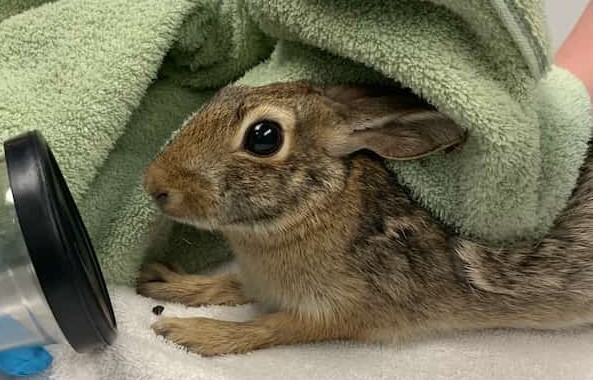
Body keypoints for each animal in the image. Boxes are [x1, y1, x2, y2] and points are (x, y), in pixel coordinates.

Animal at [136, 82, 592, 356]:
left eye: (263, 137)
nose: (155, 183)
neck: (320, 207)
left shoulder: (339, 312)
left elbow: (269, 329)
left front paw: (192, 333)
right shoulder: (258, 280)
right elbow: (229, 283)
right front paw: (164, 282)